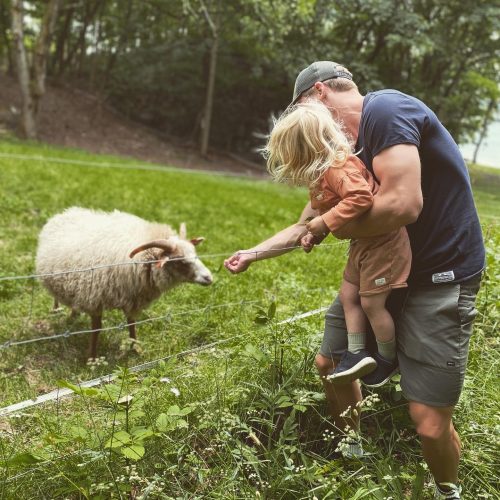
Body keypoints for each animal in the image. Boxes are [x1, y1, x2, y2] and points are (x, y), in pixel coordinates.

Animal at [35, 207, 213, 360]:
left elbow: (131, 323)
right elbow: (96, 329)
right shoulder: (94, 298)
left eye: (195, 255)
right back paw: (57, 309)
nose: (209, 278)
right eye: (181, 261)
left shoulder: (132, 298)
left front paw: (135, 348)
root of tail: (66, 212)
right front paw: (92, 358)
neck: (139, 262)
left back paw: (73, 314)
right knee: (56, 296)